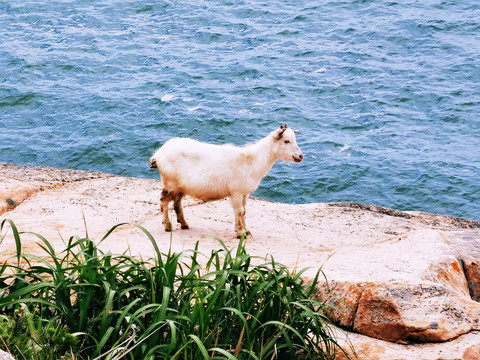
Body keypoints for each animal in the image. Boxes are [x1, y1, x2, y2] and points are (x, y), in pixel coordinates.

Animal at [148, 125, 302, 238]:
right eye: (286, 141)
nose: (300, 156)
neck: (253, 161)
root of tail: (159, 154)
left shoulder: (244, 193)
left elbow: (244, 211)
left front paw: (246, 230)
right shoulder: (236, 192)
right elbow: (239, 211)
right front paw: (240, 233)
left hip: (180, 186)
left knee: (177, 203)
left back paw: (184, 224)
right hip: (170, 183)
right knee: (164, 201)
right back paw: (167, 225)